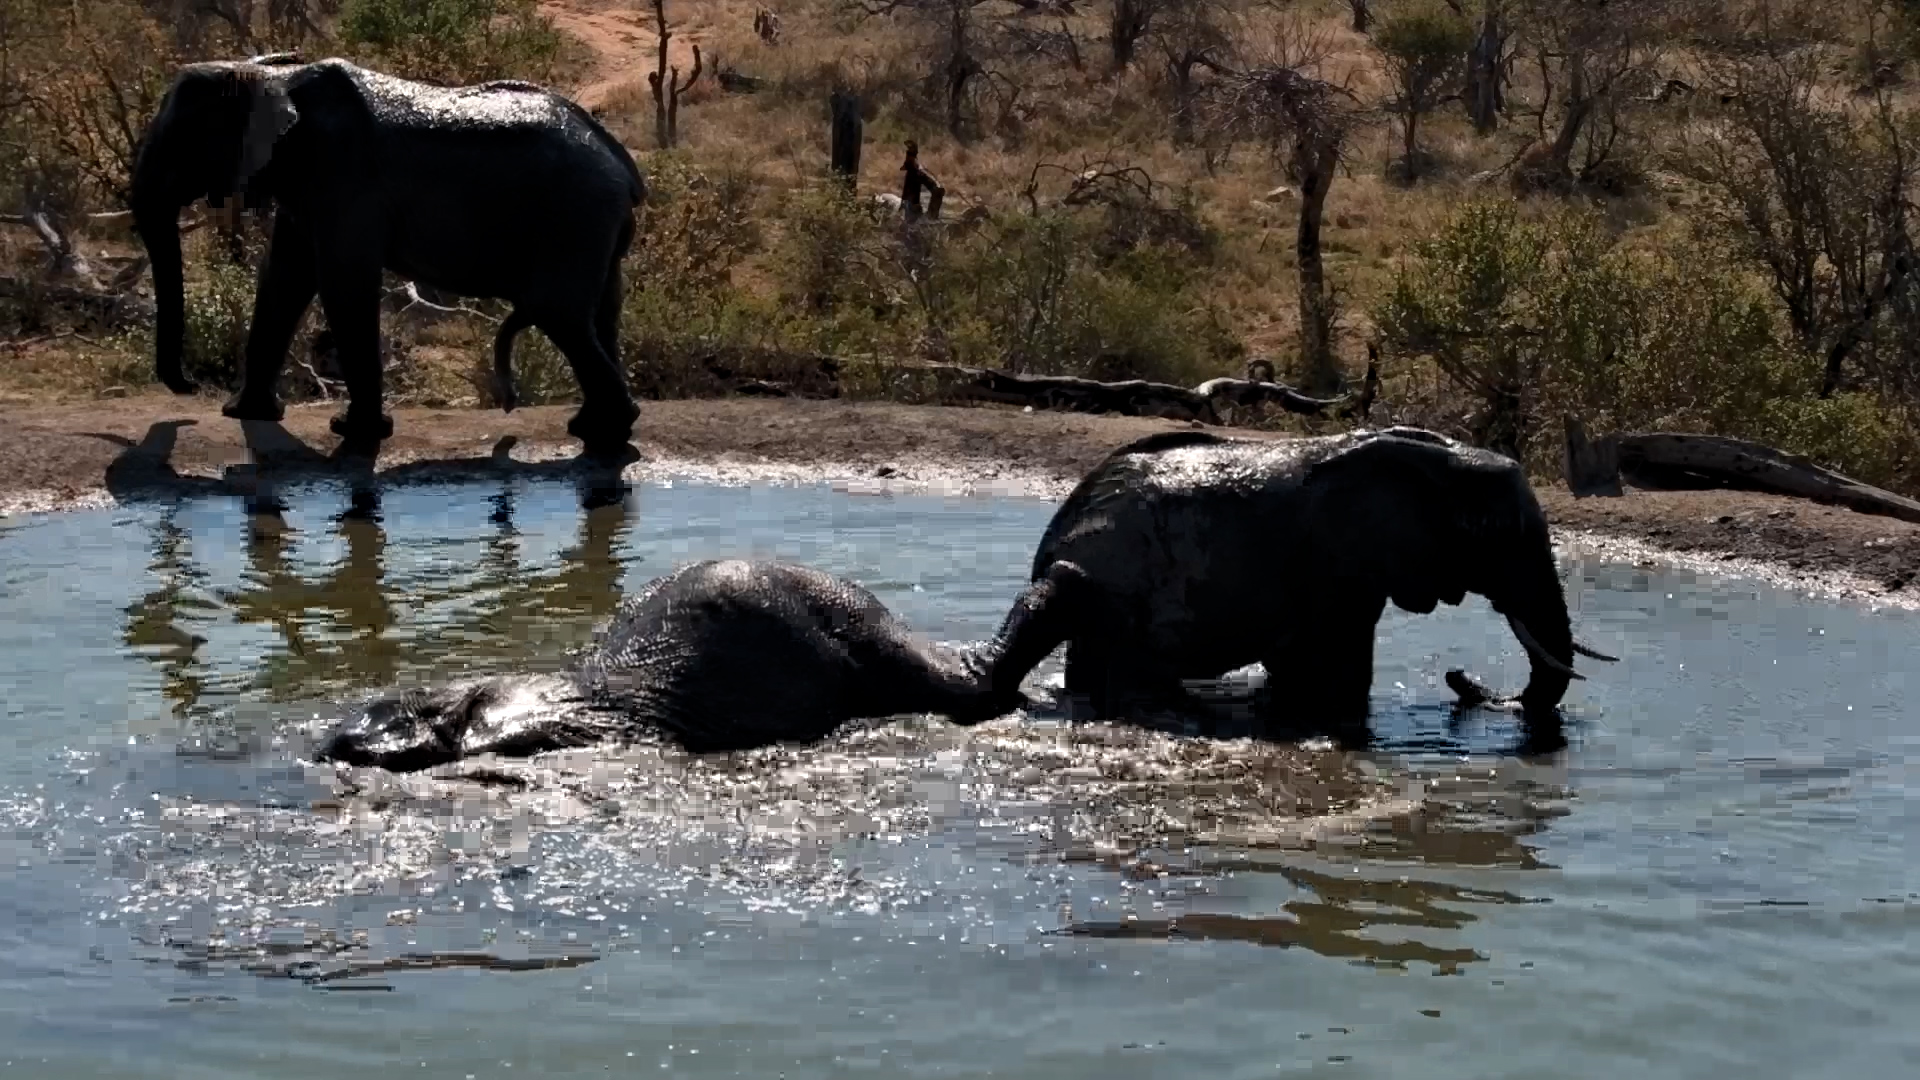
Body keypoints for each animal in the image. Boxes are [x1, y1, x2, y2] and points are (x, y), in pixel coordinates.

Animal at [129, 54, 644, 455]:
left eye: (178, 142)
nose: (190, 388)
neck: (269, 75)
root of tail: (622, 162)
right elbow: (284, 277)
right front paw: (246, 413)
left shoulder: (344, 176)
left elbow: (342, 282)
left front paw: (352, 431)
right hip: (590, 222)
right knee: (600, 314)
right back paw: (591, 429)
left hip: (574, 214)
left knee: (558, 313)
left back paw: (604, 432)